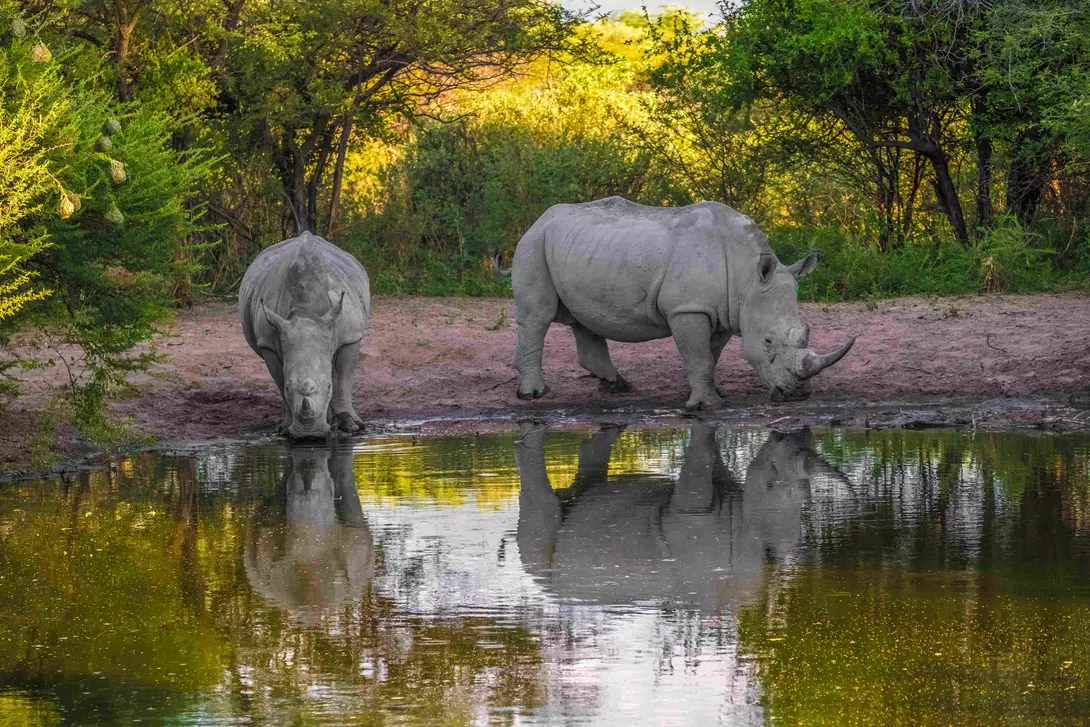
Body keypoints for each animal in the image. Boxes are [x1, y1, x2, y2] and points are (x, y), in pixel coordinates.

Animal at [239, 232, 370, 438]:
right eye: (289, 387)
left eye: (328, 386)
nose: (310, 434)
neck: (306, 312)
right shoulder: (268, 343)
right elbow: (280, 382)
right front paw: (285, 428)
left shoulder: (351, 336)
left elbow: (343, 381)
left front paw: (351, 426)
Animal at [497, 197, 855, 408]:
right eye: (768, 341)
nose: (797, 394)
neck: (748, 277)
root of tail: (538, 219)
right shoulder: (689, 308)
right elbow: (699, 356)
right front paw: (706, 406)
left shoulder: (725, 311)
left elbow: (710, 355)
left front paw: (711, 393)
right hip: (533, 245)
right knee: (538, 317)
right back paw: (534, 394)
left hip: (577, 248)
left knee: (584, 318)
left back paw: (617, 387)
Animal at [515, 421, 850, 609]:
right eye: (769, 479)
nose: (790, 434)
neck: (749, 531)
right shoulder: (693, 511)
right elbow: (701, 460)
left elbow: (712, 458)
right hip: (544, 570)